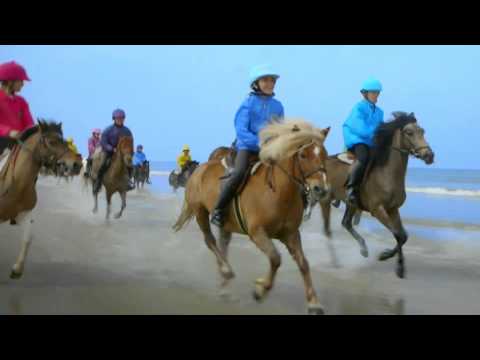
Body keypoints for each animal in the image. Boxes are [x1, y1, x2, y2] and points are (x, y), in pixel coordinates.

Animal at [0, 120, 81, 278]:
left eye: (64, 141)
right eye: (51, 142)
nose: (76, 164)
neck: (17, 183)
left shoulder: (24, 213)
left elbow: (28, 238)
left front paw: (17, 269)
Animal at [174, 119, 332, 314]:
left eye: (325, 154)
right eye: (303, 155)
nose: (321, 189)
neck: (278, 191)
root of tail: (199, 170)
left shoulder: (291, 234)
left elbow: (303, 264)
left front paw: (314, 303)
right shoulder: (257, 233)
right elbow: (275, 258)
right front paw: (260, 290)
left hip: (226, 224)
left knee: (223, 245)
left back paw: (225, 288)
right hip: (200, 212)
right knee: (210, 241)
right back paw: (226, 270)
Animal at [318, 112, 436, 278]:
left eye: (422, 131)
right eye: (409, 132)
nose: (429, 155)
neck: (387, 174)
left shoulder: (393, 209)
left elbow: (403, 236)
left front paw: (393, 261)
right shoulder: (378, 210)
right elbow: (398, 234)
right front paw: (391, 260)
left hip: (351, 203)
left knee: (346, 223)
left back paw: (363, 249)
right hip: (325, 200)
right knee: (327, 231)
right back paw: (335, 262)